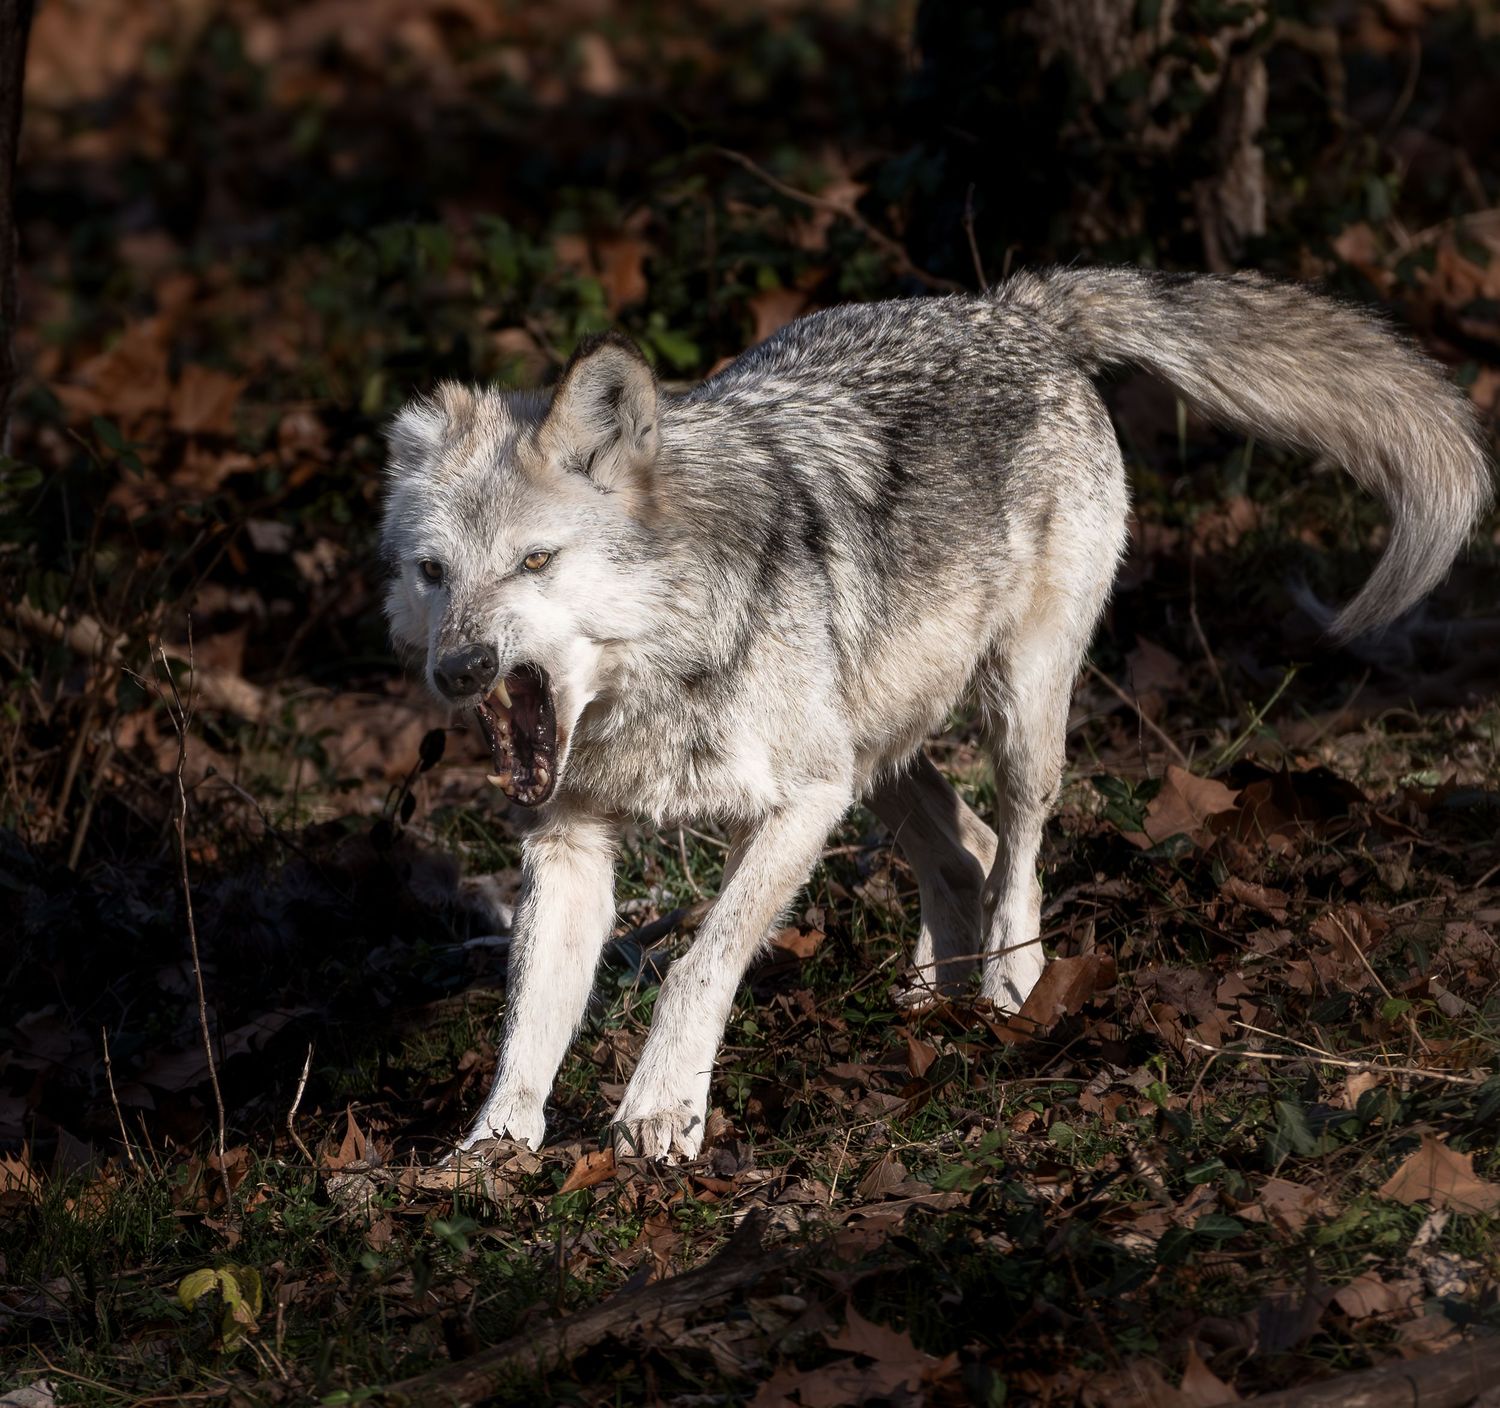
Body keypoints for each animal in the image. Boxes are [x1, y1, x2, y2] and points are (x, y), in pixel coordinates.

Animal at [380, 267, 1492, 1161]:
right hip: (877, 755)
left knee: (1021, 839)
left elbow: (700, 963)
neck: (662, 671)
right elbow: (530, 1015)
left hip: (1013, 710)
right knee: (966, 846)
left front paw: (660, 1115)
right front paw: (491, 1150)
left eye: (536, 561)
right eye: (434, 572)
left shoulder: (800, 803)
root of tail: (1011, 305)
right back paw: (931, 998)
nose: (461, 669)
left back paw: (1013, 988)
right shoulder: (569, 838)